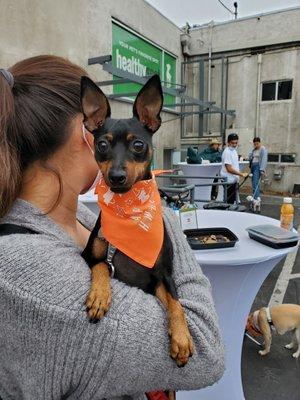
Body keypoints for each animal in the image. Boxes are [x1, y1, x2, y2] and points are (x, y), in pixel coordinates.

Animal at [81, 73, 193, 368]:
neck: (129, 213)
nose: (117, 177)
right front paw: (100, 295)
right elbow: (101, 266)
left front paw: (182, 338)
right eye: (102, 145)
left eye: (138, 145)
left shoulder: (162, 276)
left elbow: (176, 303)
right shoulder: (88, 257)